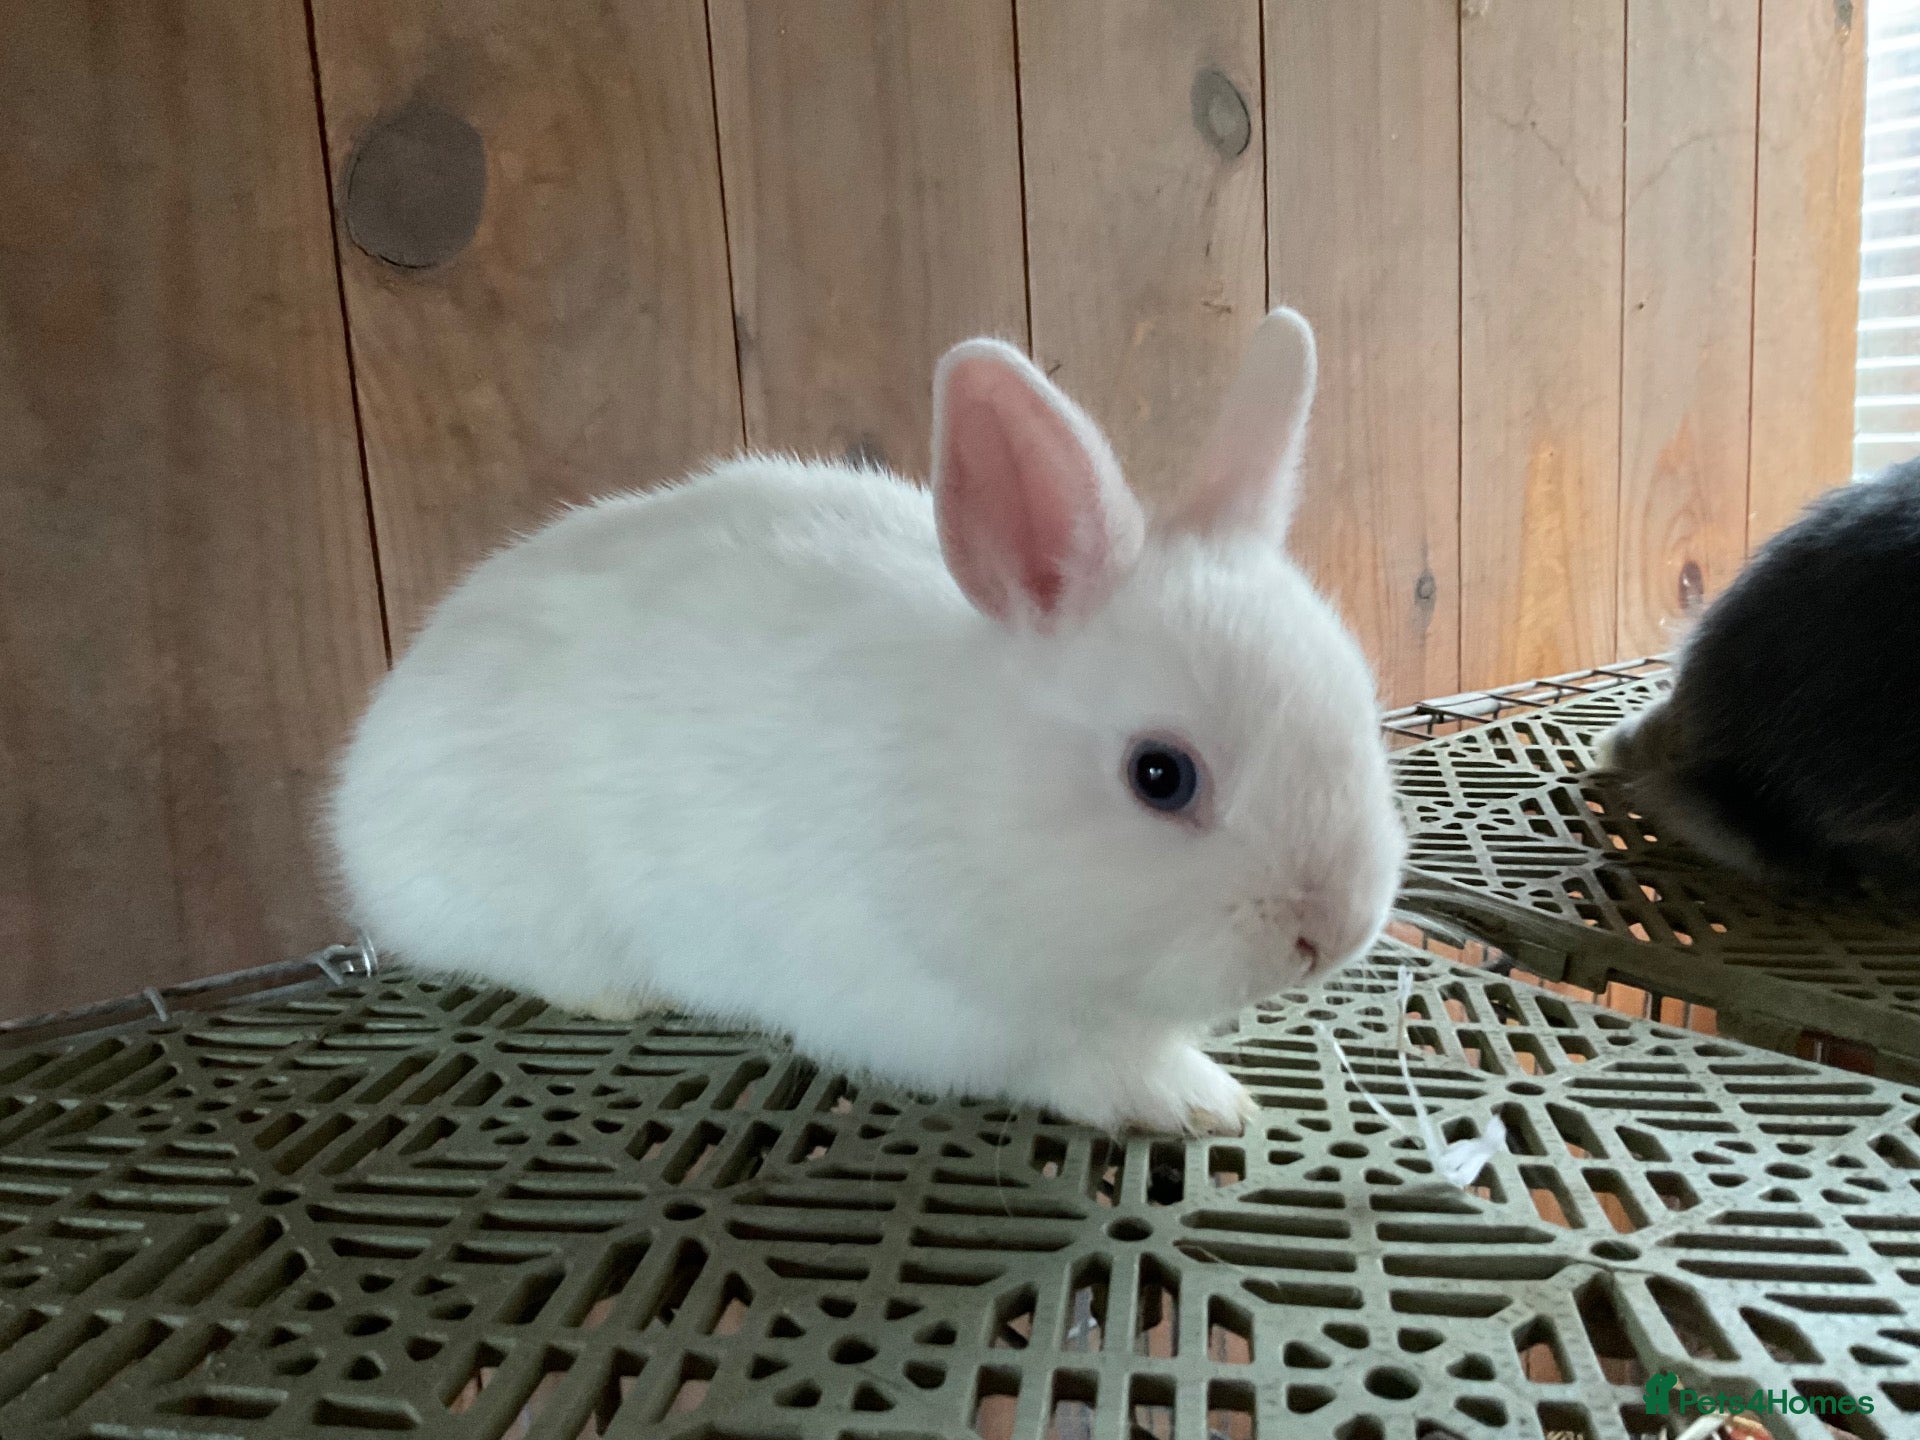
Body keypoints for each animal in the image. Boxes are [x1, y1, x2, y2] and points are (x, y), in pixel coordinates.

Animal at [329, 308, 1407, 1136]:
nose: (1332, 931)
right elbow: (1077, 1063)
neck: (960, 790)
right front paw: (1197, 1102)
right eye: (1160, 774)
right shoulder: (948, 1013)